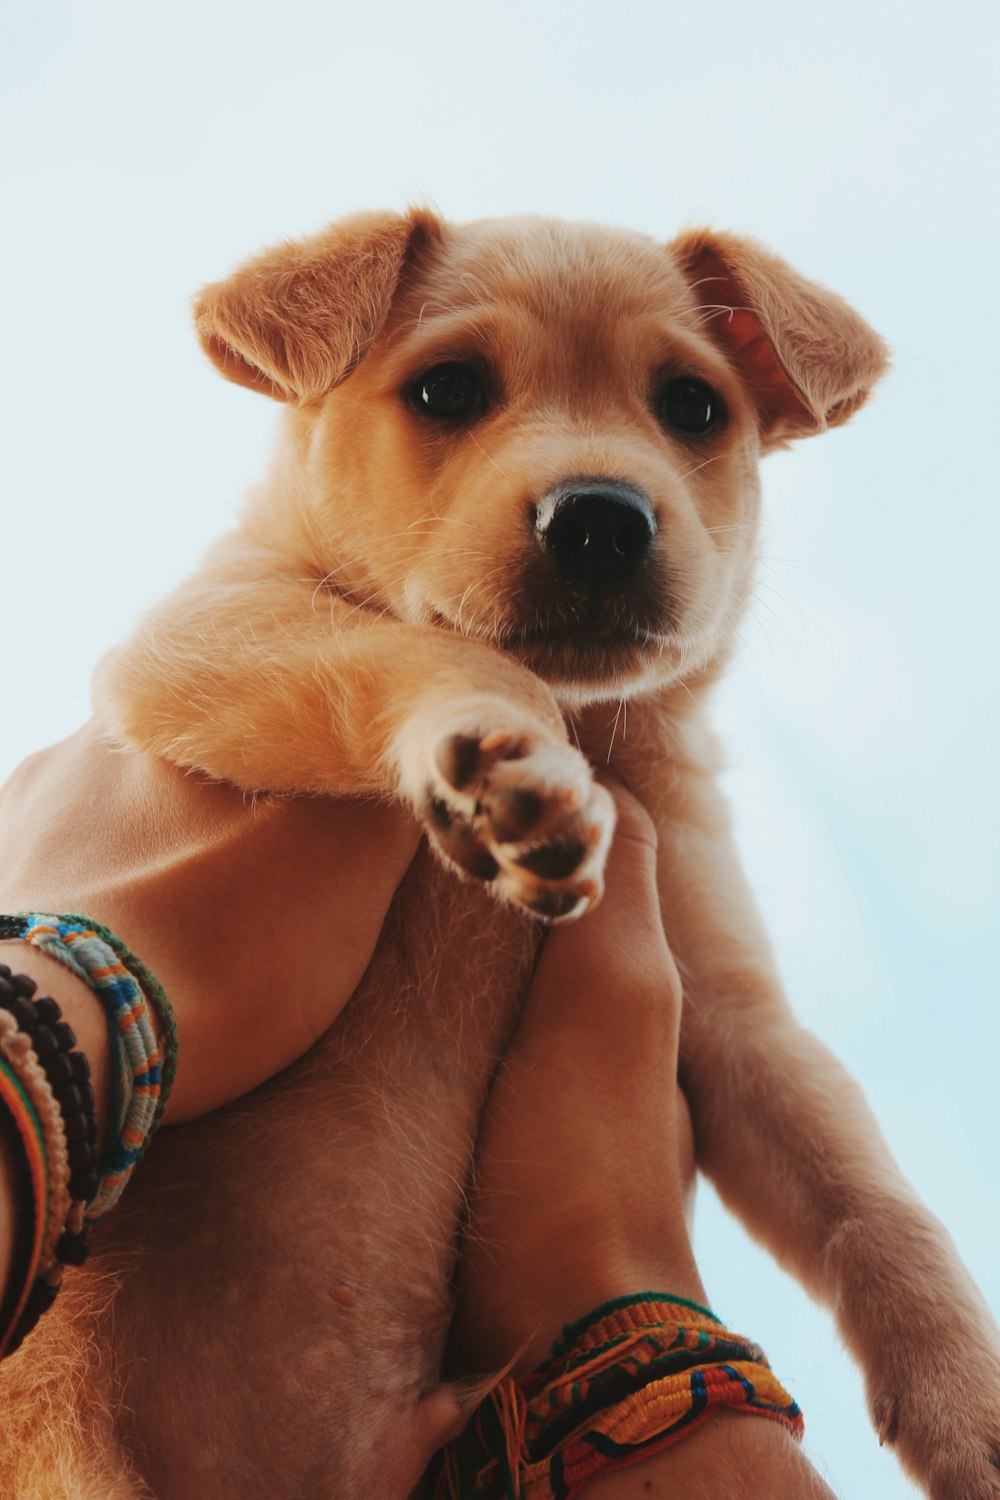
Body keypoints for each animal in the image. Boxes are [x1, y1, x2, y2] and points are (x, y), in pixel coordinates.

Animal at [3, 214, 995, 1500]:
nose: (601, 518)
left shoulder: (741, 1023)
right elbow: (408, 653)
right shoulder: (201, 640)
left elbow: (871, 1200)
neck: (594, 720)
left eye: (692, 406)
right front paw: (505, 762)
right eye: (447, 389)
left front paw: (969, 1403)